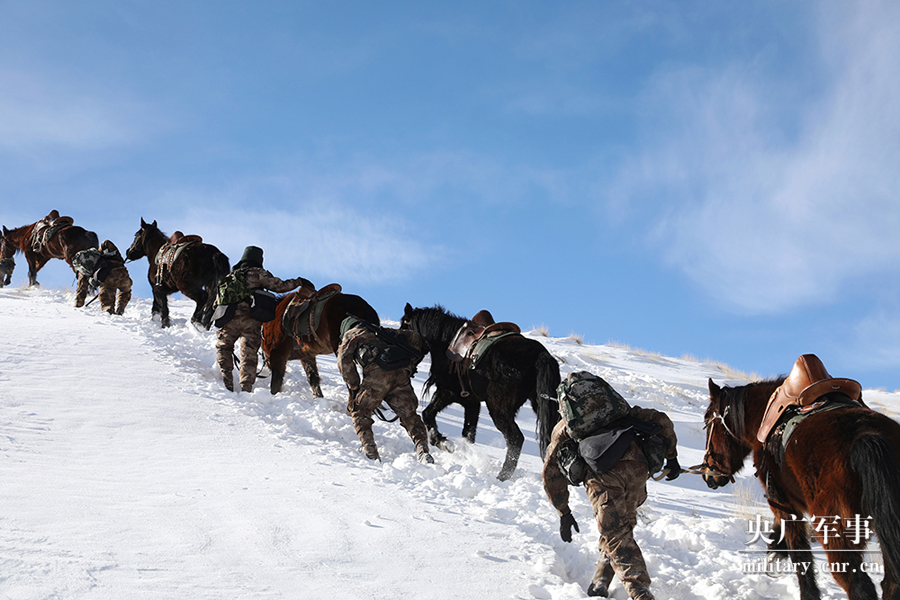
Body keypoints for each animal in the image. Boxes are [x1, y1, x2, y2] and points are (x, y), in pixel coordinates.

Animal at [402, 302, 564, 480]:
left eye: (403, 326)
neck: (444, 341)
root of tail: (541, 355)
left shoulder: (448, 392)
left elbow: (428, 414)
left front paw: (443, 443)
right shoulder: (471, 402)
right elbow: (468, 434)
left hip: (498, 408)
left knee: (516, 439)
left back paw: (502, 477)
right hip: (539, 404)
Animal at [704, 378, 900, 596]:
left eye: (707, 421)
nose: (708, 475)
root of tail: (866, 436)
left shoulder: (781, 501)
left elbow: (800, 555)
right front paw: (775, 551)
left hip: (835, 526)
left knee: (857, 583)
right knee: (891, 583)